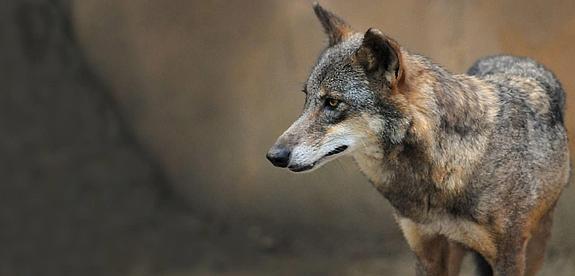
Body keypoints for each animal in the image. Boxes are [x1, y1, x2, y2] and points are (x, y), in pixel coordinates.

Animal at [266, 2, 572, 276]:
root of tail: (513, 57)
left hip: (535, 244)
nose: (274, 156)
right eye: (307, 98)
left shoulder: (509, 256)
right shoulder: (426, 251)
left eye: (332, 102)